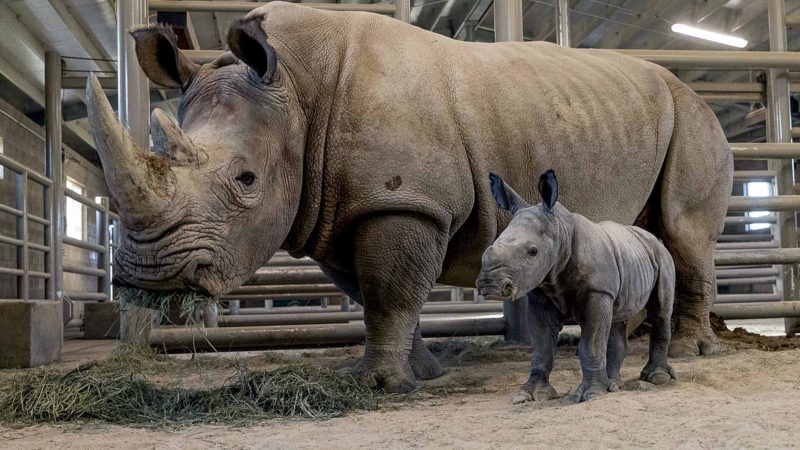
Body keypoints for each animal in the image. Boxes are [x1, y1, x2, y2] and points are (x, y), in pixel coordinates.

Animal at [482, 171, 676, 402]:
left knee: (660, 311)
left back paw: (656, 378)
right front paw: (531, 394)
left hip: (662, 257)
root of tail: (653, 238)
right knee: (617, 318)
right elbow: (542, 348)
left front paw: (591, 394)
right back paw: (614, 385)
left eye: (532, 251)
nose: (489, 285)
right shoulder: (541, 294)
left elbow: (590, 345)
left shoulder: (597, 291)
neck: (560, 230)